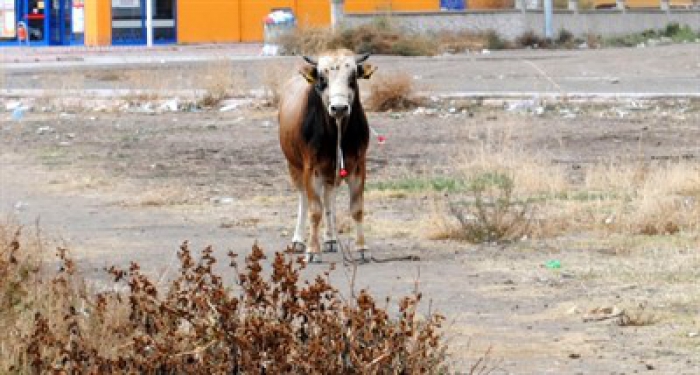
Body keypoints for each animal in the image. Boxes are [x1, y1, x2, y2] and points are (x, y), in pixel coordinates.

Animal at [278, 48, 378, 262]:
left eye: (352, 76)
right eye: (322, 78)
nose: (339, 108)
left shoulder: (358, 166)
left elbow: (356, 209)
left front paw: (362, 248)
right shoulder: (311, 169)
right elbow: (315, 211)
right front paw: (312, 250)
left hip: (330, 172)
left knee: (329, 198)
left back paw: (330, 239)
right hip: (294, 166)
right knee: (304, 200)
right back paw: (298, 240)